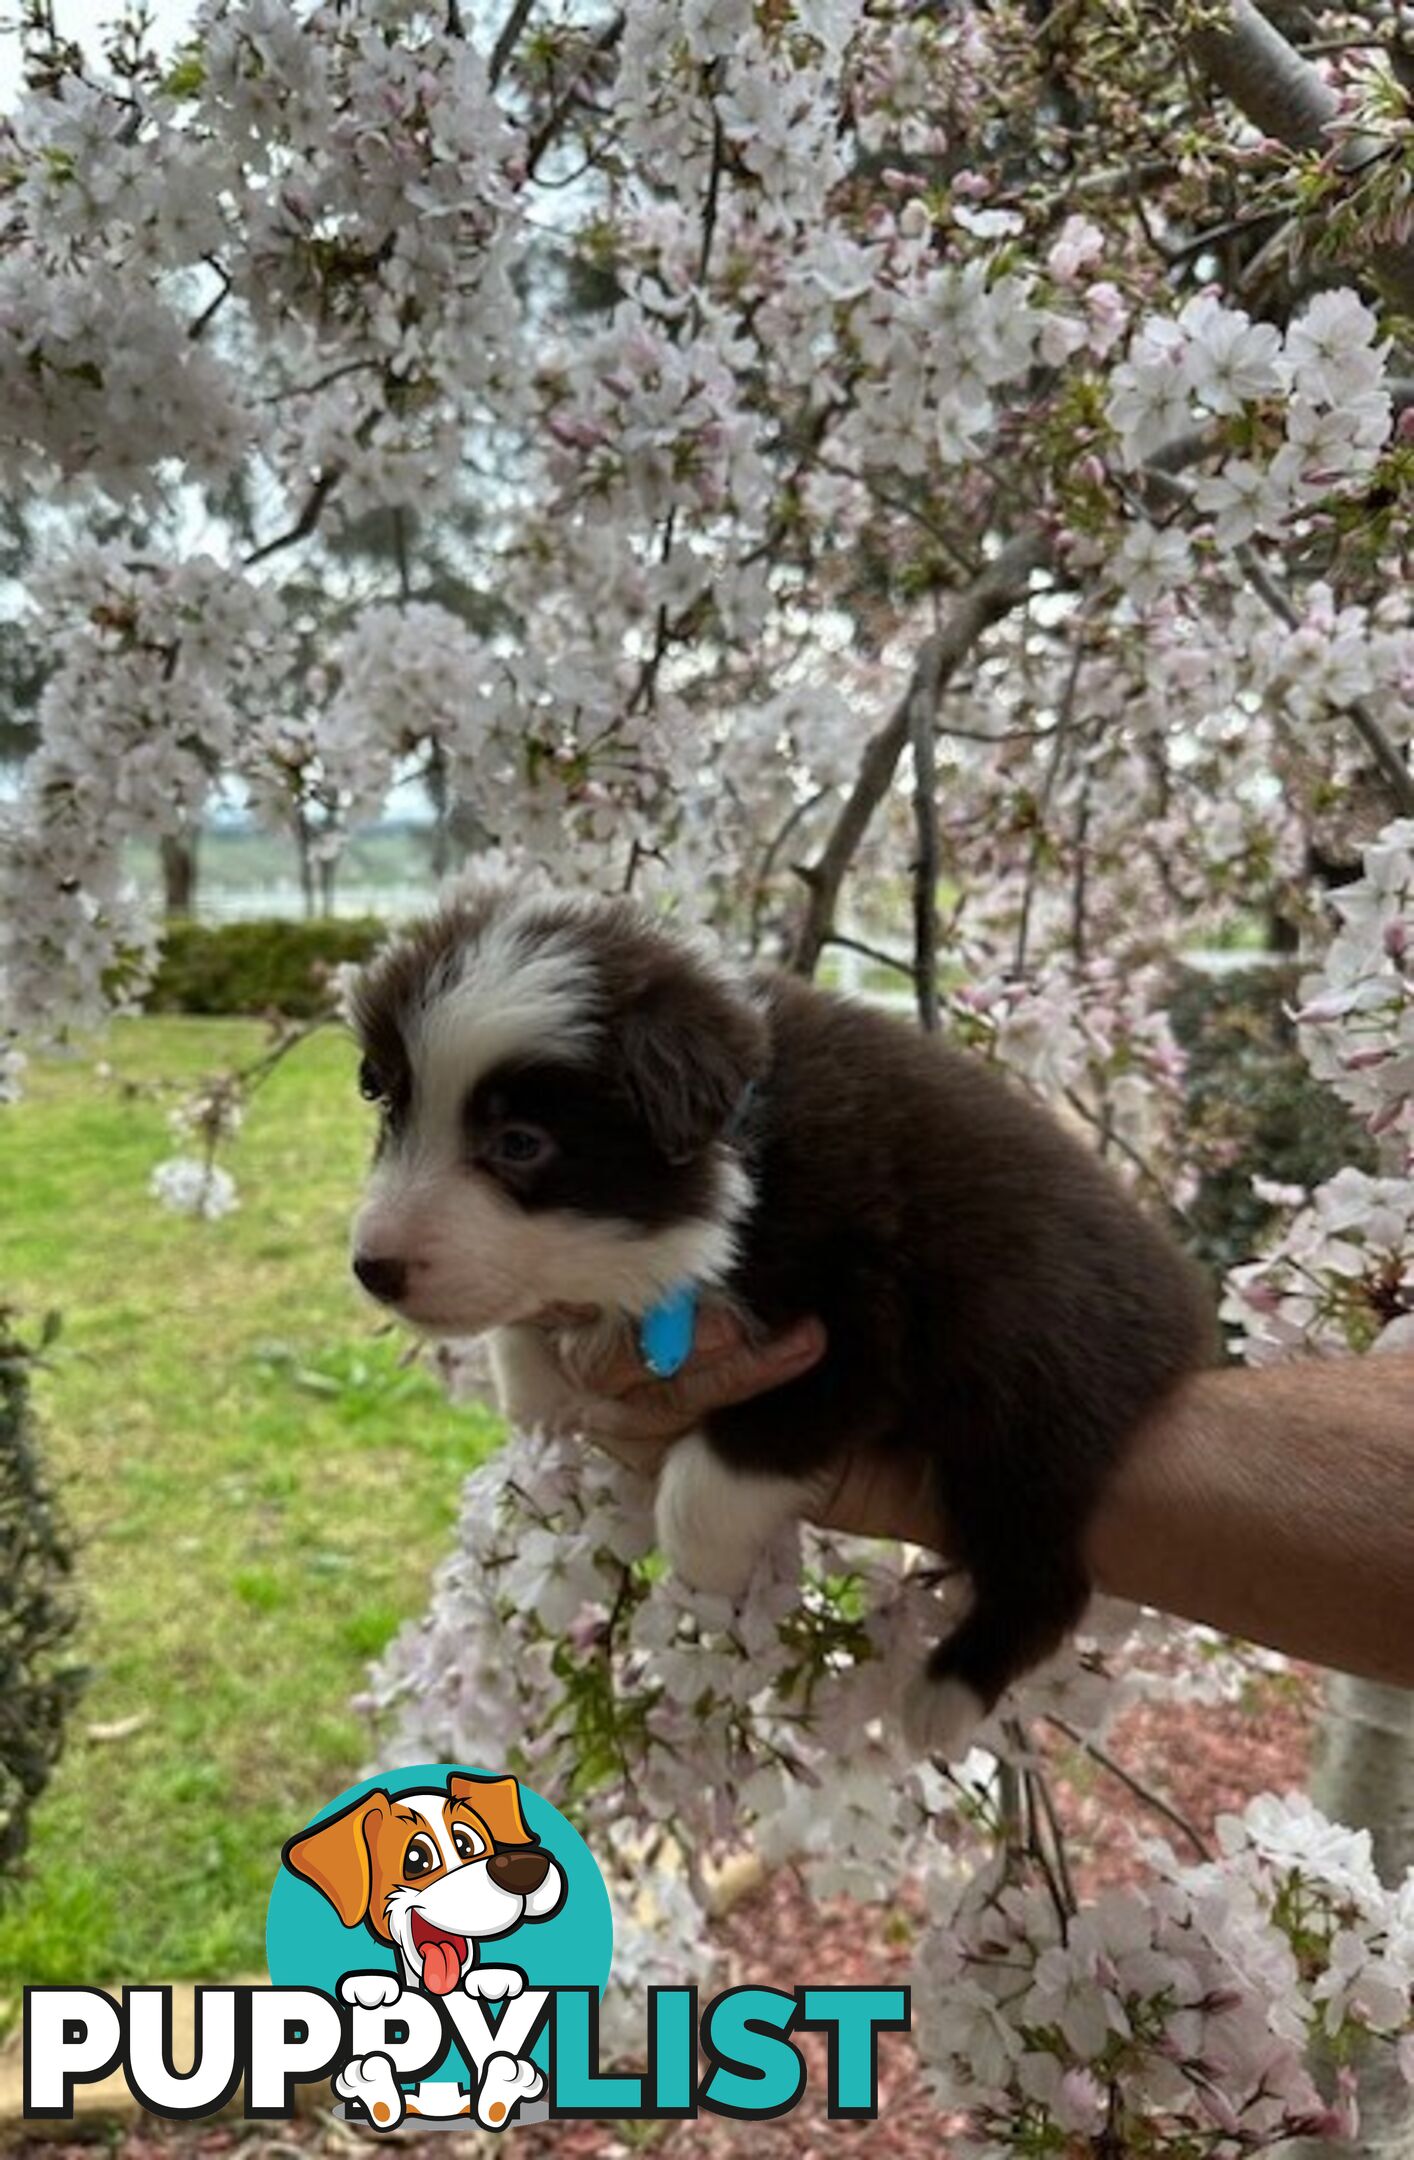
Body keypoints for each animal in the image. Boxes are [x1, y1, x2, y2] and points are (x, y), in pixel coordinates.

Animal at [351, 876, 1217, 1753]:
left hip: (1029, 1396)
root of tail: (1188, 1310)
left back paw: (945, 1695)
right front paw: (541, 1390)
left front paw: (716, 1573)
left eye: (521, 1143)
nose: (372, 1270)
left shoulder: (861, 1325)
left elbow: (708, 1478)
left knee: (1045, 1564)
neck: (741, 1152)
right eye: (388, 1104)